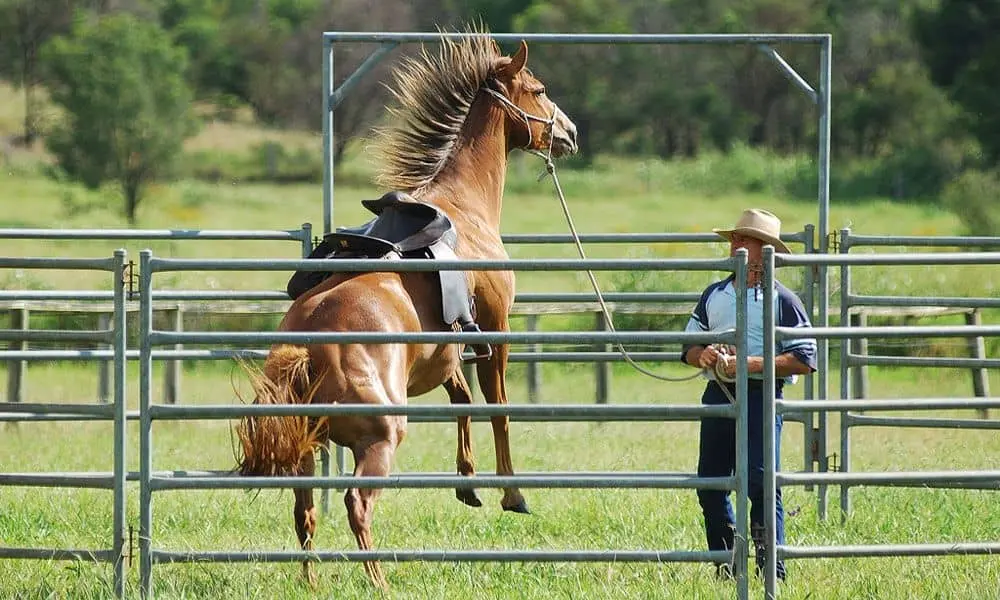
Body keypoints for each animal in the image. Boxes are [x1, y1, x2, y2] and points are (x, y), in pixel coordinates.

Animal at [236, 35, 580, 588]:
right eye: (540, 89)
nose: (570, 132)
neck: (464, 206)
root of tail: (306, 348)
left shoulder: (446, 350)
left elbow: (462, 399)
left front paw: (468, 483)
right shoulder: (495, 329)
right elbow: (497, 407)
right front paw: (512, 494)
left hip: (307, 447)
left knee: (304, 512)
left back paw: (312, 581)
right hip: (380, 438)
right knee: (356, 504)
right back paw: (377, 580)